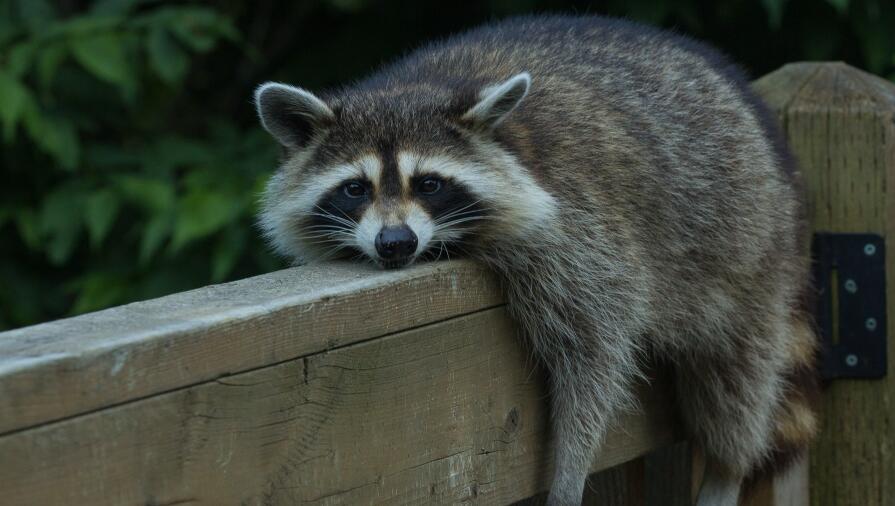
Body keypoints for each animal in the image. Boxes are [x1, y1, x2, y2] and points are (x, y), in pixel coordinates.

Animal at [254, 15, 819, 506]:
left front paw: (572, 467)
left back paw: (726, 467)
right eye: (356, 188)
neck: (415, 85)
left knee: (736, 379)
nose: (396, 243)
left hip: (750, 248)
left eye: (430, 184)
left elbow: (596, 348)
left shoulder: (578, 227)